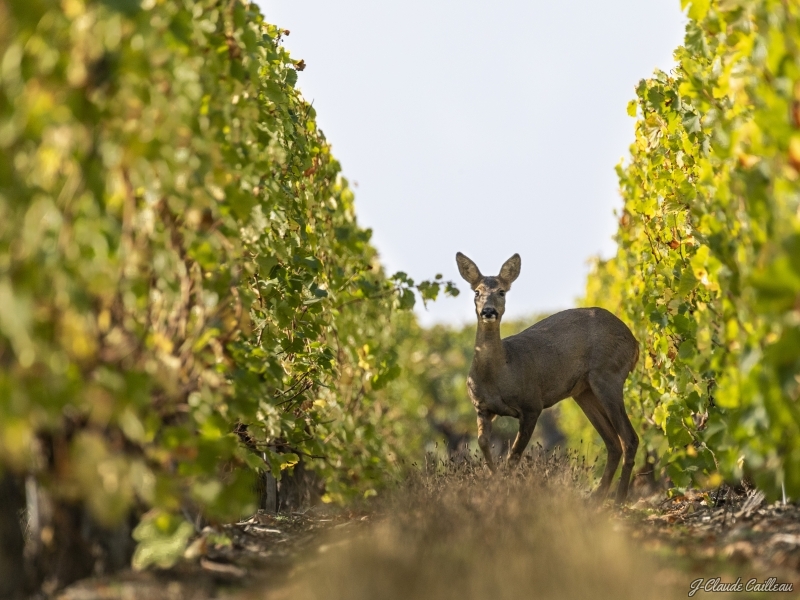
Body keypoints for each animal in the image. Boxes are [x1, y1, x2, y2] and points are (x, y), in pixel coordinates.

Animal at [456, 251, 636, 504]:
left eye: (502, 291)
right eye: (477, 292)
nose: (488, 311)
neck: (502, 372)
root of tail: (635, 342)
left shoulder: (532, 404)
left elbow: (514, 455)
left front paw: (505, 490)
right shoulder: (481, 408)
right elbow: (483, 443)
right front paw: (495, 481)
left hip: (609, 374)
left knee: (629, 438)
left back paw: (618, 499)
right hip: (583, 391)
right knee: (613, 441)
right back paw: (596, 498)